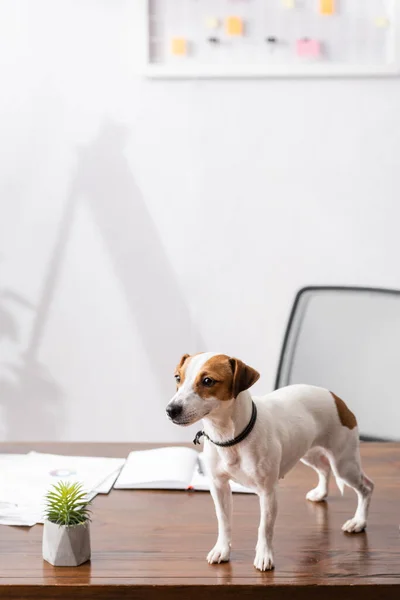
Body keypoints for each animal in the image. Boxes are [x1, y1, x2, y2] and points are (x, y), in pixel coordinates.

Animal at [165, 354, 372, 568]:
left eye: (208, 381)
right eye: (177, 378)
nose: (171, 410)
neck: (229, 437)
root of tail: (334, 396)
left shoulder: (267, 493)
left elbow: (265, 527)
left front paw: (264, 556)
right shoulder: (219, 487)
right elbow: (223, 521)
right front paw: (222, 549)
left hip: (344, 464)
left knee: (366, 487)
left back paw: (359, 521)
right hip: (308, 453)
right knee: (324, 468)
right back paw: (321, 493)